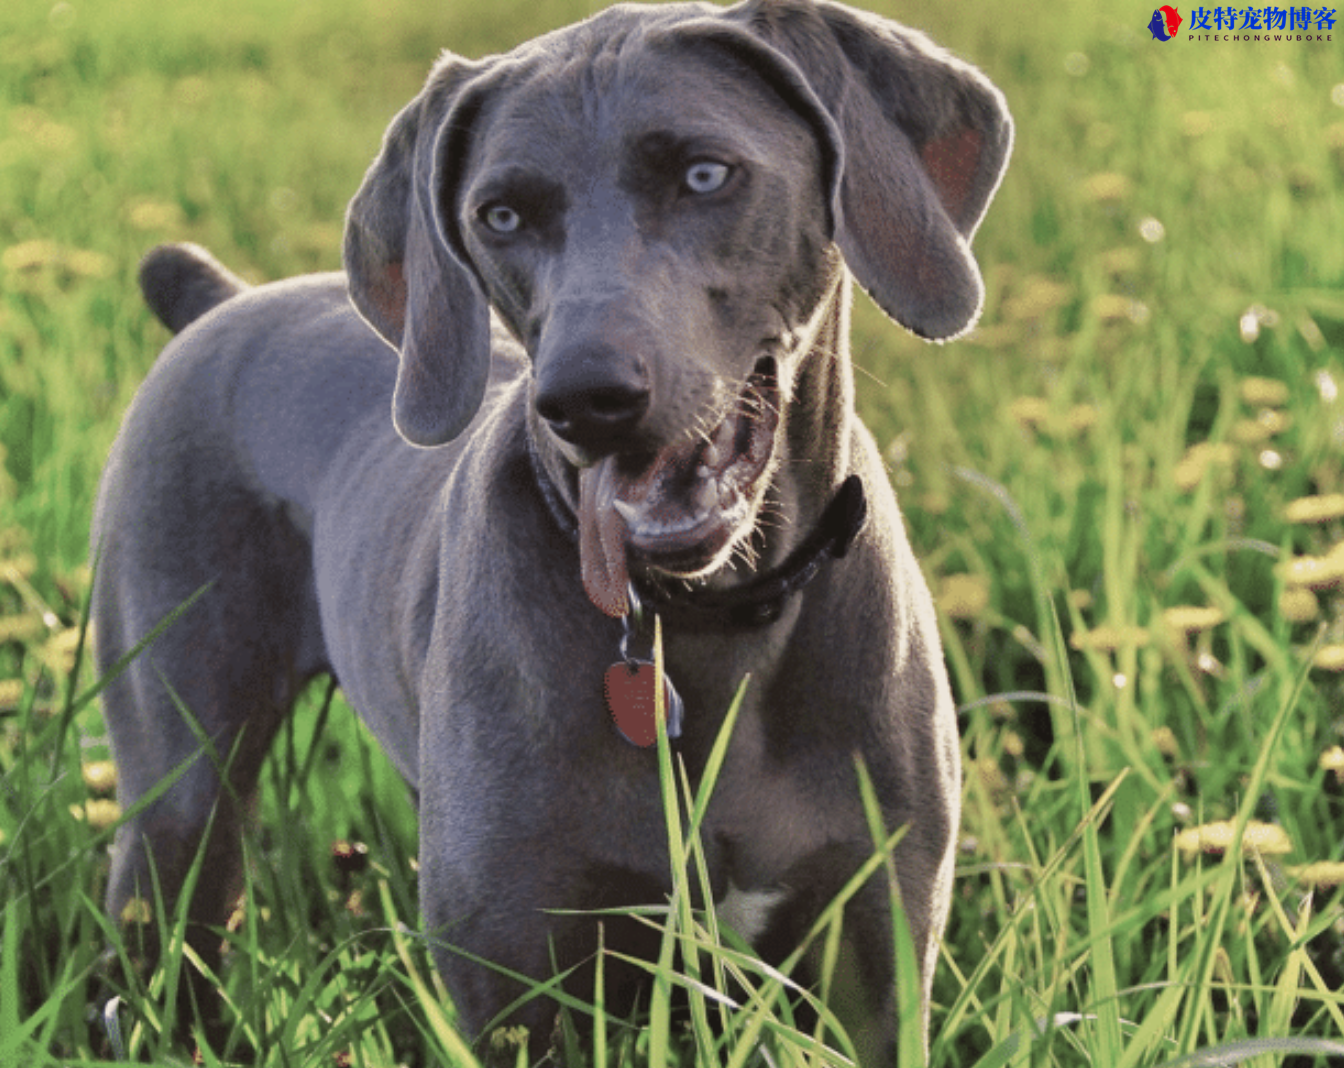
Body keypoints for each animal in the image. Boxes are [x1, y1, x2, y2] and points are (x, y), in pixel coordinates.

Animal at [92, 0, 1010, 1058]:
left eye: (705, 174)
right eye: (500, 215)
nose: (586, 398)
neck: (704, 625)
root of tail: (224, 301)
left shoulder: (875, 963)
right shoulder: (518, 978)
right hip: (177, 790)